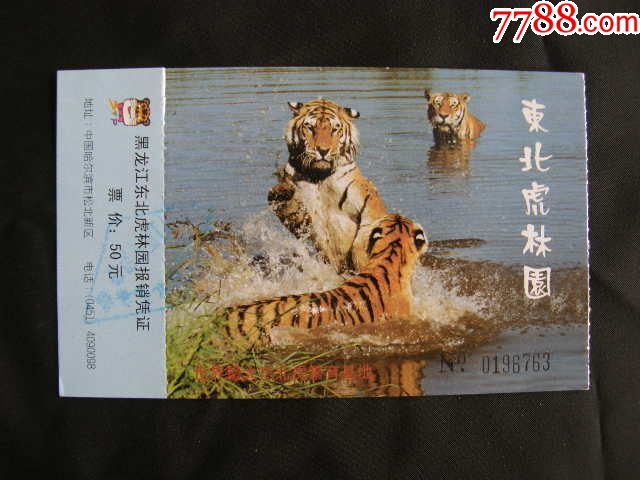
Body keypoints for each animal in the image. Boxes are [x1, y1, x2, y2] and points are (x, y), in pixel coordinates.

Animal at [268, 98, 388, 273]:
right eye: (310, 127)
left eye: (334, 129)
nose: (323, 150)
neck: (320, 176)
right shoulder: (302, 217)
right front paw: (281, 192)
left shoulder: (367, 201)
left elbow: (370, 228)